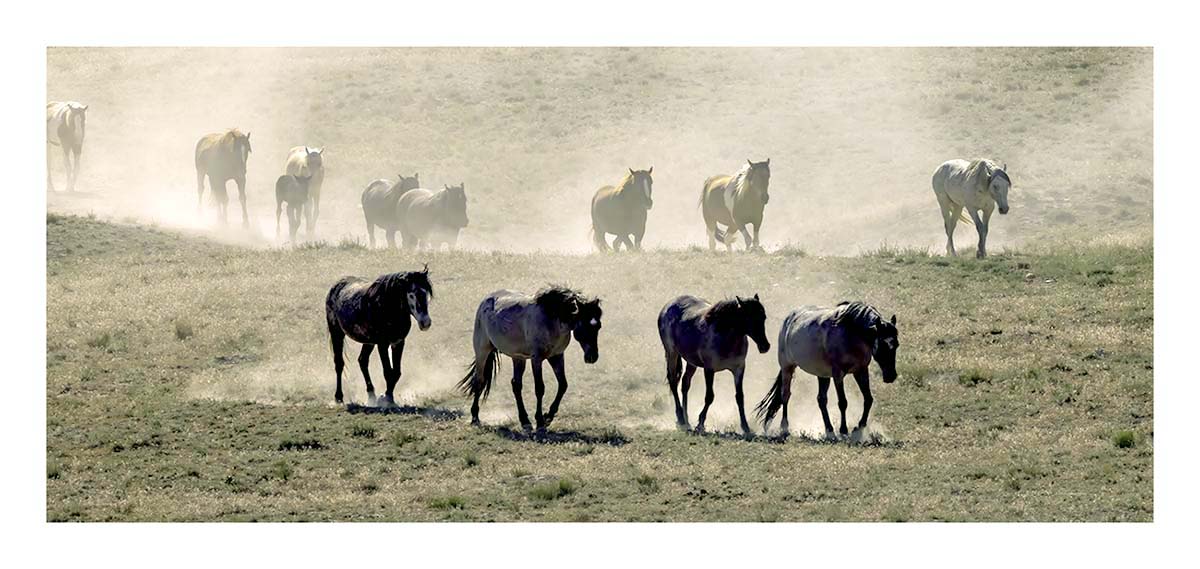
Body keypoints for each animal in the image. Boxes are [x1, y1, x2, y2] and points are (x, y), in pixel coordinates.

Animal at [325, 267, 433, 408]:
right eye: (411, 295)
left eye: (426, 293)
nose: (426, 323)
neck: (387, 307)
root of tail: (336, 286)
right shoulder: (382, 344)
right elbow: (387, 372)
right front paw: (386, 398)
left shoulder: (398, 342)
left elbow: (396, 372)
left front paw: (387, 397)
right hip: (337, 333)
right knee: (339, 364)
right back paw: (339, 397)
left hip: (368, 342)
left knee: (362, 361)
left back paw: (371, 395)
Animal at [457, 286, 602, 434]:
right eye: (584, 325)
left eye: (598, 326)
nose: (592, 357)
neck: (551, 319)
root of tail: (486, 300)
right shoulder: (536, 359)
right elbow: (539, 388)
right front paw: (540, 422)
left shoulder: (557, 356)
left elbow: (563, 385)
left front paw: (548, 417)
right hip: (482, 351)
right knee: (479, 381)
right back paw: (475, 417)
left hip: (518, 358)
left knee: (516, 385)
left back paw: (525, 421)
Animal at [657, 294, 770, 435]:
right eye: (749, 317)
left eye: (764, 317)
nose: (765, 346)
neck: (726, 336)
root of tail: (667, 306)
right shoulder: (709, 369)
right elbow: (709, 396)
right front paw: (700, 424)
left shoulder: (739, 369)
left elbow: (740, 397)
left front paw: (746, 427)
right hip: (672, 353)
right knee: (673, 381)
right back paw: (681, 419)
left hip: (691, 362)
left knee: (685, 384)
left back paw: (686, 419)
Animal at [756, 301, 899, 439]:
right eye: (883, 344)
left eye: (897, 344)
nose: (891, 376)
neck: (851, 333)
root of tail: (789, 319)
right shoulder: (838, 375)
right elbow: (843, 402)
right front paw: (843, 430)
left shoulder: (861, 371)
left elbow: (868, 399)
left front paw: (858, 428)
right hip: (787, 367)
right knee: (785, 395)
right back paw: (784, 427)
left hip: (822, 375)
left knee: (821, 400)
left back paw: (829, 430)